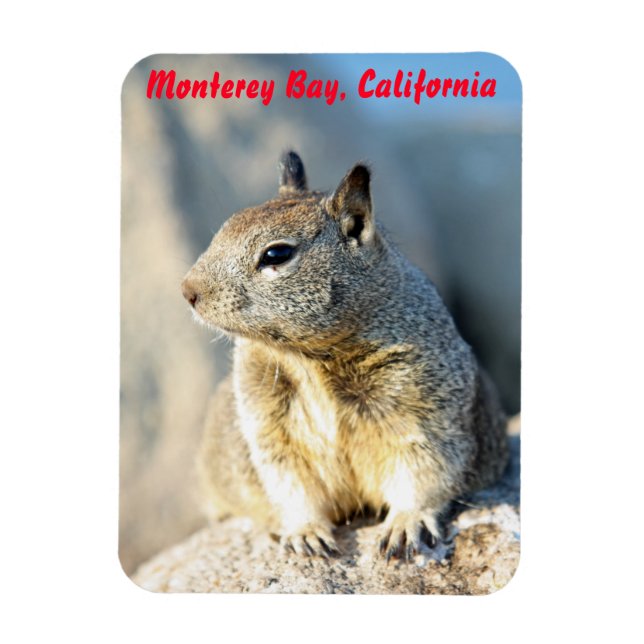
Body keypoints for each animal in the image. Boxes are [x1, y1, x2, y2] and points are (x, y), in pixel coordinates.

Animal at [181, 151, 508, 560]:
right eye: (224, 228)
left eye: (276, 254)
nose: (187, 290)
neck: (308, 359)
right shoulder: (267, 423)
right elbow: (290, 483)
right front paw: (305, 532)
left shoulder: (425, 406)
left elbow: (424, 471)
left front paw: (405, 523)